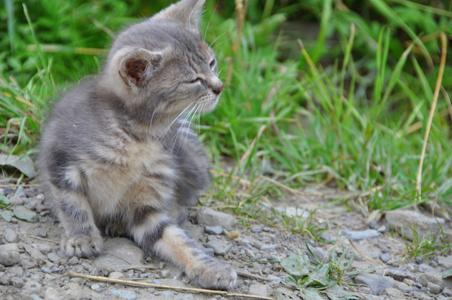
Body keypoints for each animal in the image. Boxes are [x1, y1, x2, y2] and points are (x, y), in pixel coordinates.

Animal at [38, 0, 237, 290]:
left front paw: (209, 267)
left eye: (212, 63)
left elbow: (174, 238)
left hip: (191, 158)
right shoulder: (60, 157)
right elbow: (72, 204)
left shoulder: (149, 198)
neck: (138, 134)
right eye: (193, 80)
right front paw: (81, 237)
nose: (219, 87)